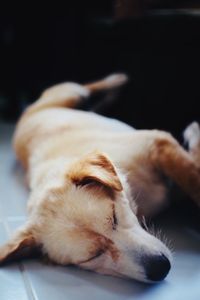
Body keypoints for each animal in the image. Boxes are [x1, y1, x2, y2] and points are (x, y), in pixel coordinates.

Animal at [0, 74, 200, 282]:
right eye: (92, 257)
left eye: (114, 216)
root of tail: (26, 111)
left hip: (72, 93)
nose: (160, 268)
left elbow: (192, 176)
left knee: (87, 88)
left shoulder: (158, 143)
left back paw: (116, 81)